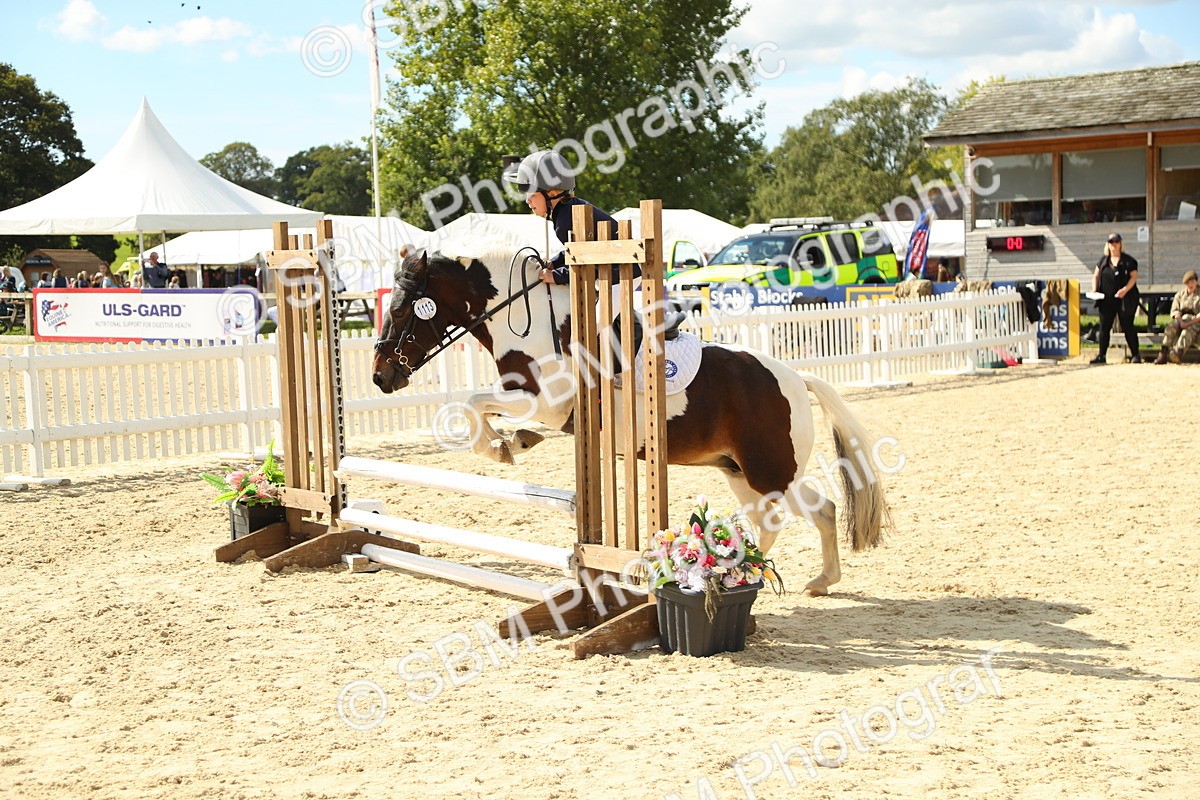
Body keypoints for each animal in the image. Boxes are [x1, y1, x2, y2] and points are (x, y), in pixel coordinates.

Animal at [371, 246, 891, 596]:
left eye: (399, 309)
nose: (379, 377)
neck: (524, 319)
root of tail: (796, 377)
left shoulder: (549, 402)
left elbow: (472, 403)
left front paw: (504, 446)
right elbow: (474, 405)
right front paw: (512, 441)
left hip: (769, 472)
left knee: (808, 512)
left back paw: (788, 578)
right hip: (741, 472)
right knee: (793, 517)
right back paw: (789, 577)